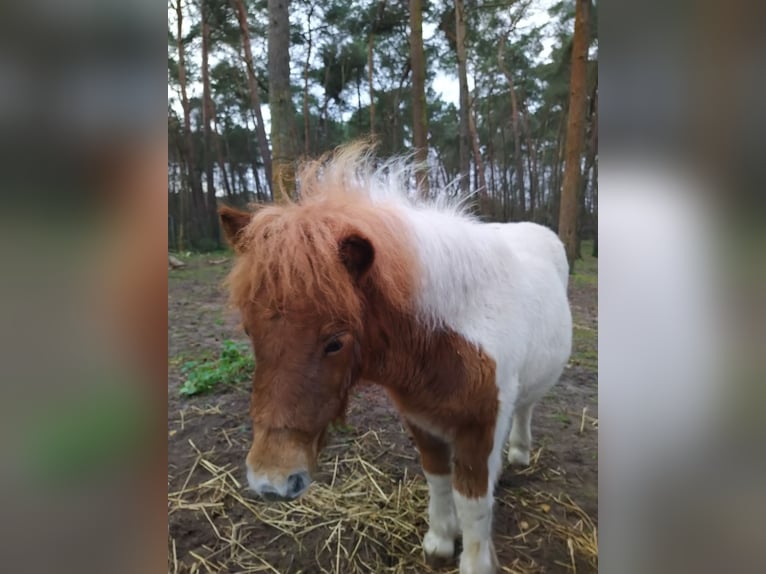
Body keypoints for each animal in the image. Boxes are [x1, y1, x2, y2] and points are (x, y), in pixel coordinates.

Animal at [219, 145, 572, 574]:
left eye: (335, 342)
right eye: (250, 331)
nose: (271, 481)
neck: (448, 337)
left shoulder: (480, 425)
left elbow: (472, 501)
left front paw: (473, 560)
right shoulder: (421, 420)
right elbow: (438, 479)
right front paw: (440, 540)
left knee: (525, 409)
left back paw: (519, 453)